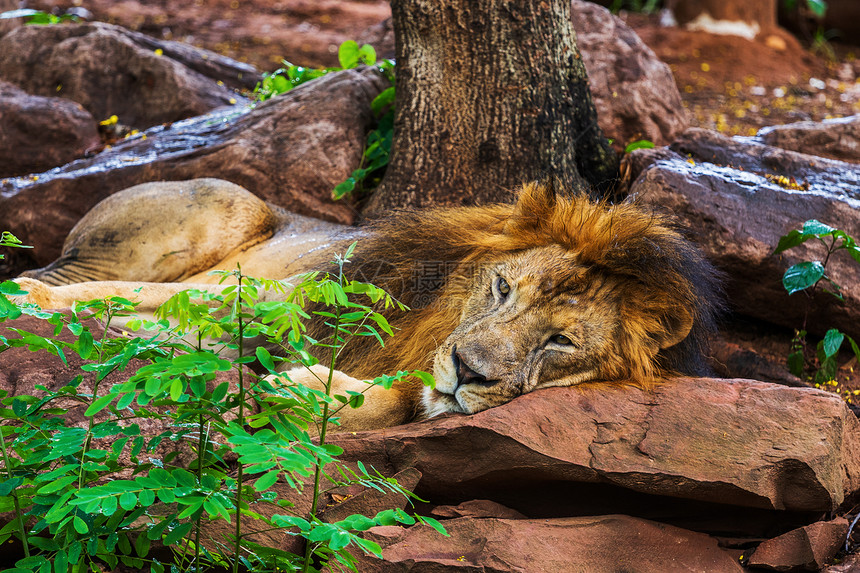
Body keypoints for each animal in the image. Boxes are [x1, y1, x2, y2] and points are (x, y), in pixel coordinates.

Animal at [15, 178, 724, 428]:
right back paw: (33, 294)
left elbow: (395, 401)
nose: (467, 372)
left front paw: (302, 390)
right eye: (503, 289)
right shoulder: (266, 297)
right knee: (65, 275)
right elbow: (128, 299)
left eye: (561, 342)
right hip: (227, 208)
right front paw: (47, 306)